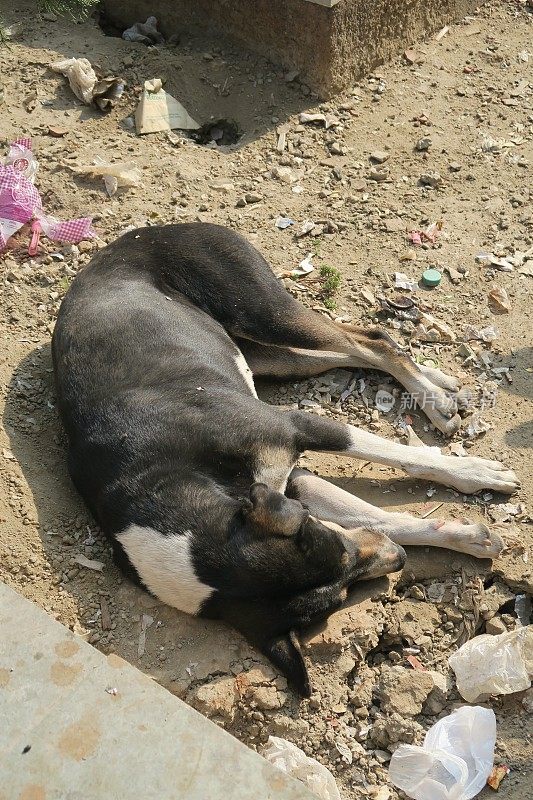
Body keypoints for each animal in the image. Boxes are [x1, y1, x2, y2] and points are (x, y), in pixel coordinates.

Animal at [52, 223, 516, 692]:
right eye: (342, 592)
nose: (399, 560)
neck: (154, 478)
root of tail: (139, 233)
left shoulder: (291, 427)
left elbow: (402, 457)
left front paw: (476, 472)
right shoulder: (291, 483)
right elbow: (384, 519)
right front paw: (469, 537)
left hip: (262, 311)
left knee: (369, 341)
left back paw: (435, 398)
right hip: (266, 354)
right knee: (354, 346)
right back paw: (440, 382)